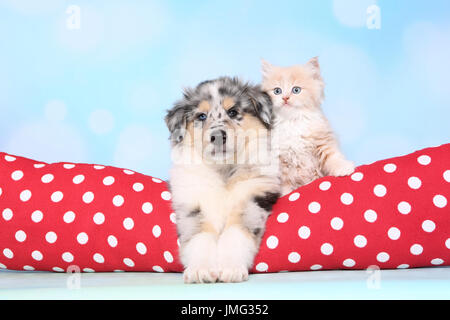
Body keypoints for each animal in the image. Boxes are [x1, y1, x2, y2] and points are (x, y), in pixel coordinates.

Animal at [167, 77, 280, 282]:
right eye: (201, 116)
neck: (223, 170)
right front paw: (200, 269)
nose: (218, 136)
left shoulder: (253, 196)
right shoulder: (192, 202)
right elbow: (199, 236)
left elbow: (236, 231)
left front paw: (231, 267)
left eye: (233, 112)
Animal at [262, 58, 354, 195]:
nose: (285, 98)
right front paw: (286, 195)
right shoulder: (278, 160)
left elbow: (333, 157)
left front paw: (344, 168)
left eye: (296, 90)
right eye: (277, 91)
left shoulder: (323, 142)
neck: (293, 122)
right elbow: (284, 183)